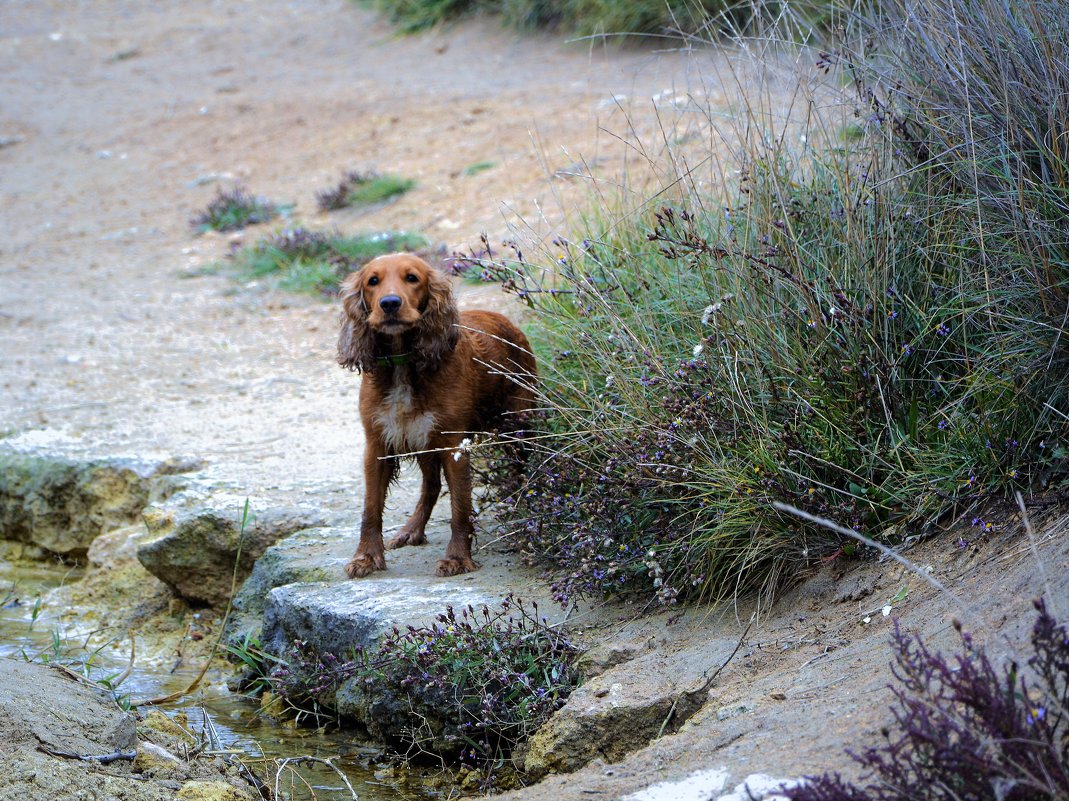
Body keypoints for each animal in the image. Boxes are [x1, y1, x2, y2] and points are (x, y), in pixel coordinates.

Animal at [335, 253, 534, 577]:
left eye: (412, 278)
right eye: (372, 281)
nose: (390, 303)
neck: (403, 362)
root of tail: (507, 321)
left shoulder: (453, 446)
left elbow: (460, 508)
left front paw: (457, 558)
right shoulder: (378, 444)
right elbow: (370, 509)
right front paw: (366, 557)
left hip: (517, 426)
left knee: (521, 471)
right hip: (426, 444)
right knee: (431, 486)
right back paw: (411, 530)